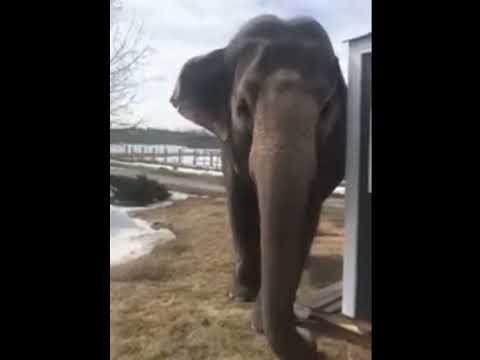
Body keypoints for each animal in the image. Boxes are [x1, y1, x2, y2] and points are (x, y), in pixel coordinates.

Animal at [169, 14, 344, 360]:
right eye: (242, 107)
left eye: (327, 109)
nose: (311, 339)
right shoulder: (228, 142)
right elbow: (238, 200)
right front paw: (241, 295)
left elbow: (306, 217)